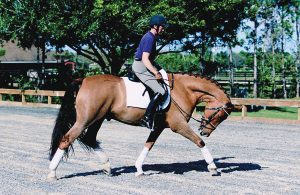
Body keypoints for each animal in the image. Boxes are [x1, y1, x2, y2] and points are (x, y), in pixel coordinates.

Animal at [47, 72, 234, 180]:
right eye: (222, 115)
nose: (205, 131)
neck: (183, 90)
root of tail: (83, 80)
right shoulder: (178, 125)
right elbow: (199, 142)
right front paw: (213, 167)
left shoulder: (158, 127)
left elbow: (148, 146)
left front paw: (138, 169)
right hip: (86, 119)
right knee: (67, 139)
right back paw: (52, 172)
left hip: (98, 118)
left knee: (90, 138)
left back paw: (107, 166)